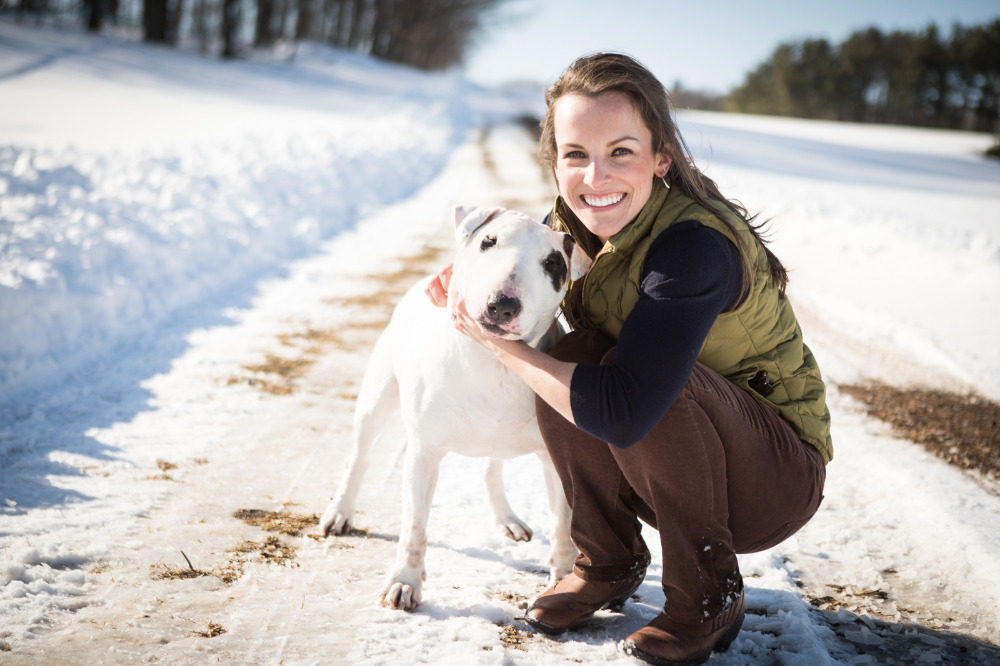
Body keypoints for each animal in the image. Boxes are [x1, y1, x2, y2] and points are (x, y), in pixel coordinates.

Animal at [320, 205, 588, 608]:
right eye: (488, 241)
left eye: (552, 263)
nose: (502, 305)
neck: (493, 360)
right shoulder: (424, 452)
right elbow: (414, 526)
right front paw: (404, 582)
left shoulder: (555, 458)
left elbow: (562, 524)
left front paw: (564, 579)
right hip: (377, 396)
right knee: (360, 456)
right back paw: (339, 512)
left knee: (491, 468)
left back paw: (507, 519)